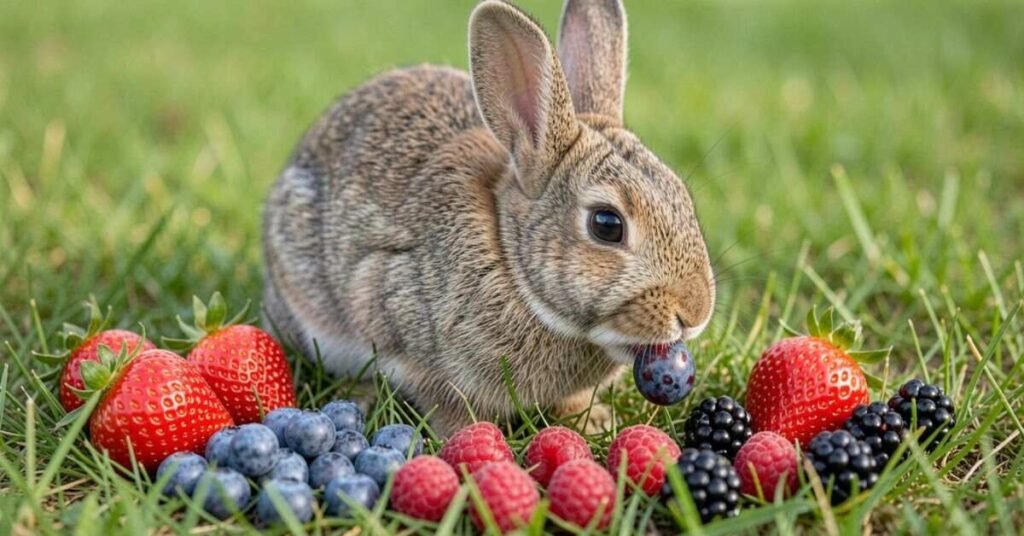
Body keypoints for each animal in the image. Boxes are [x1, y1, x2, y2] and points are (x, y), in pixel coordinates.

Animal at [262, 0, 716, 435]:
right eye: (607, 225)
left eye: (681, 194)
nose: (695, 313)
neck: (511, 261)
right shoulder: (409, 337)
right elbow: (450, 409)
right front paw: (470, 438)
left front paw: (595, 422)